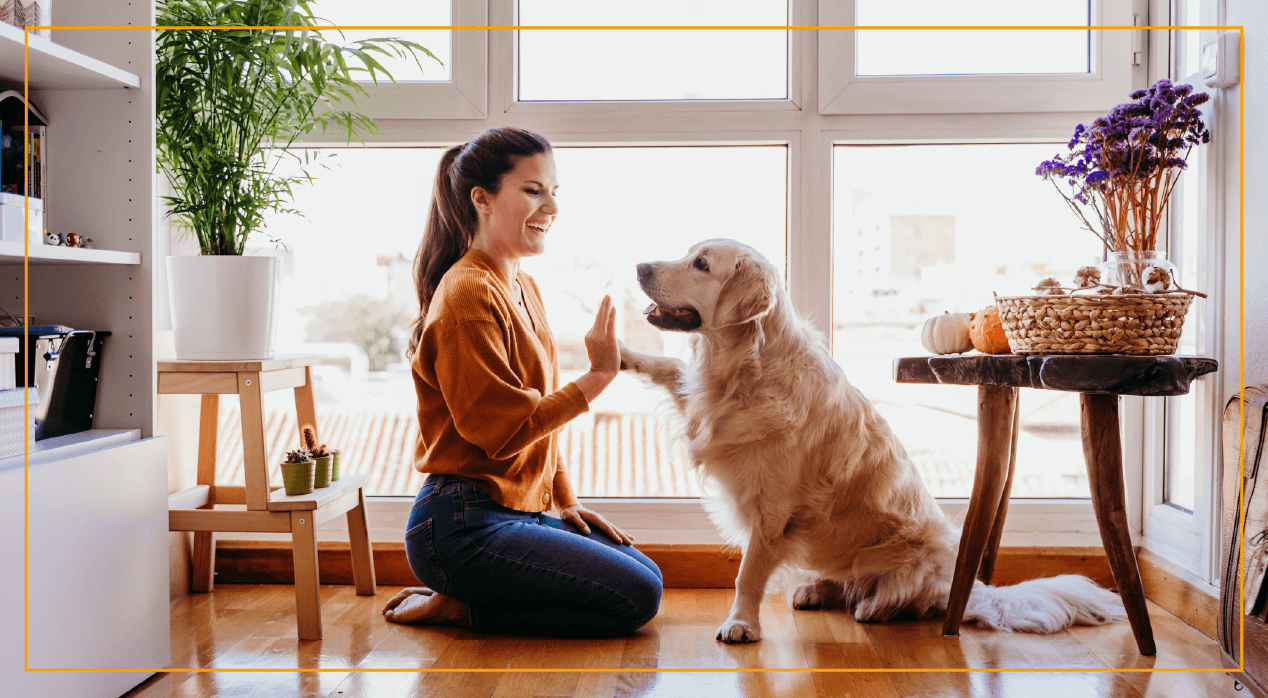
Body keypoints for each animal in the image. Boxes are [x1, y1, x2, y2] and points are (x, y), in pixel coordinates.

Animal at [618, 239, 1125, 644]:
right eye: (689, 254)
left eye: (701, 264)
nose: (639, 266)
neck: (743, 368)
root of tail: (966, 588)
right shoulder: (702, 406)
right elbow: (669, 369)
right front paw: (620, 353)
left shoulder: (772, 511)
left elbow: (748, 575)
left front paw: (741, 624)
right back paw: (816, 589)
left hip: (918, 555)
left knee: (904, 598)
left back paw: (874, 607)